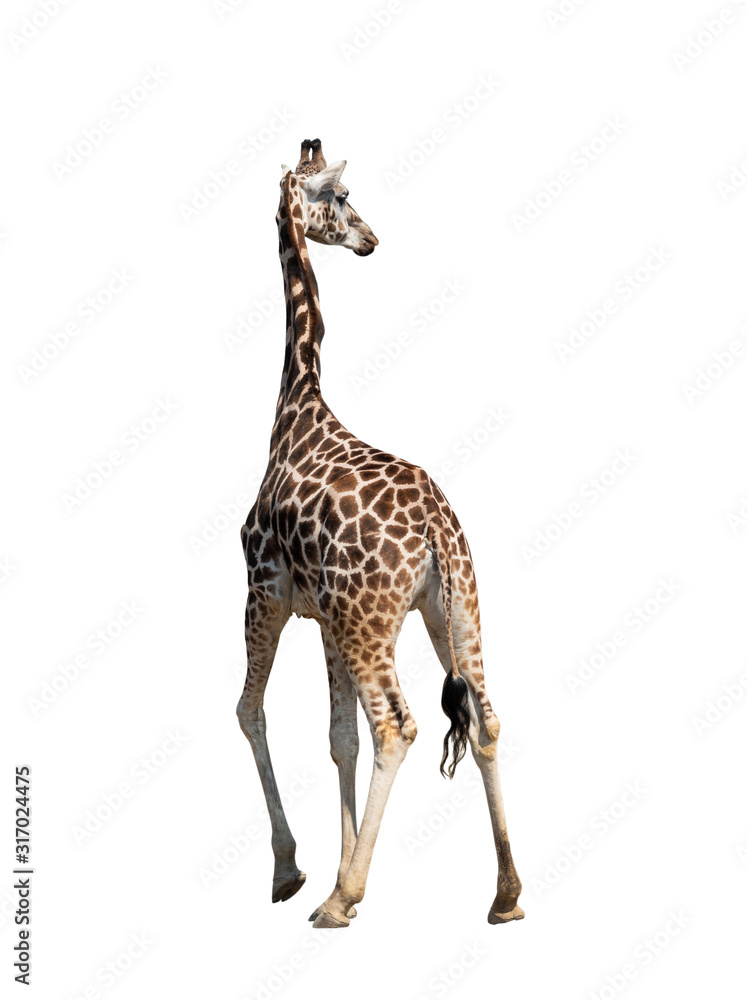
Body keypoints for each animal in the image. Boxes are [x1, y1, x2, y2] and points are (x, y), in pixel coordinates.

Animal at [237, 139, 523, 928]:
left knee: (397, 724)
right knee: (485, 718)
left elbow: (251, 710)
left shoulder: (265, 592)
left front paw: (295, 872)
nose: (369, 238)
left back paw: (341, 901)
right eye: (339, 197)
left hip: (372, 619)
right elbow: (339, 739)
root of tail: (433, 528)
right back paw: (506, 894)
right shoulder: (325, 618)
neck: (297, 401)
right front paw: (331, 864)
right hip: (453, 608)